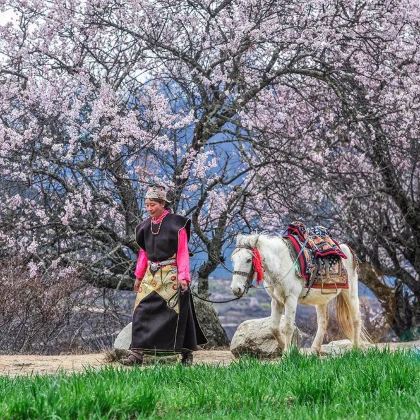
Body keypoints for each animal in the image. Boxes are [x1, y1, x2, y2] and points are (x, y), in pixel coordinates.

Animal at [230, 235, 368, 352]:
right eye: (233, 259)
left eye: (249, 260)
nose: (236, 289)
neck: (281, 263)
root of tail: (347, 249)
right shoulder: (276, 301)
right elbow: (274, 328)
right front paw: (284, 347)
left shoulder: (291, 299)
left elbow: (288, 327)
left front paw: (287, 353)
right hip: (321, 301)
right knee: (323, 322)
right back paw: (314, 351)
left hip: (350, 292)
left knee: (356, 319)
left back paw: (355, 349)